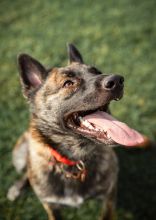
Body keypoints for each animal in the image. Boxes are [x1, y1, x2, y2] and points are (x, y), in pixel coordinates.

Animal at [7, 43, 146, 219]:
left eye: (97, 71)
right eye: (68, 83)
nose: (117, 80)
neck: (75, 159)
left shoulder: (109, 195)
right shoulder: (51, 205)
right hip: (19, 156)